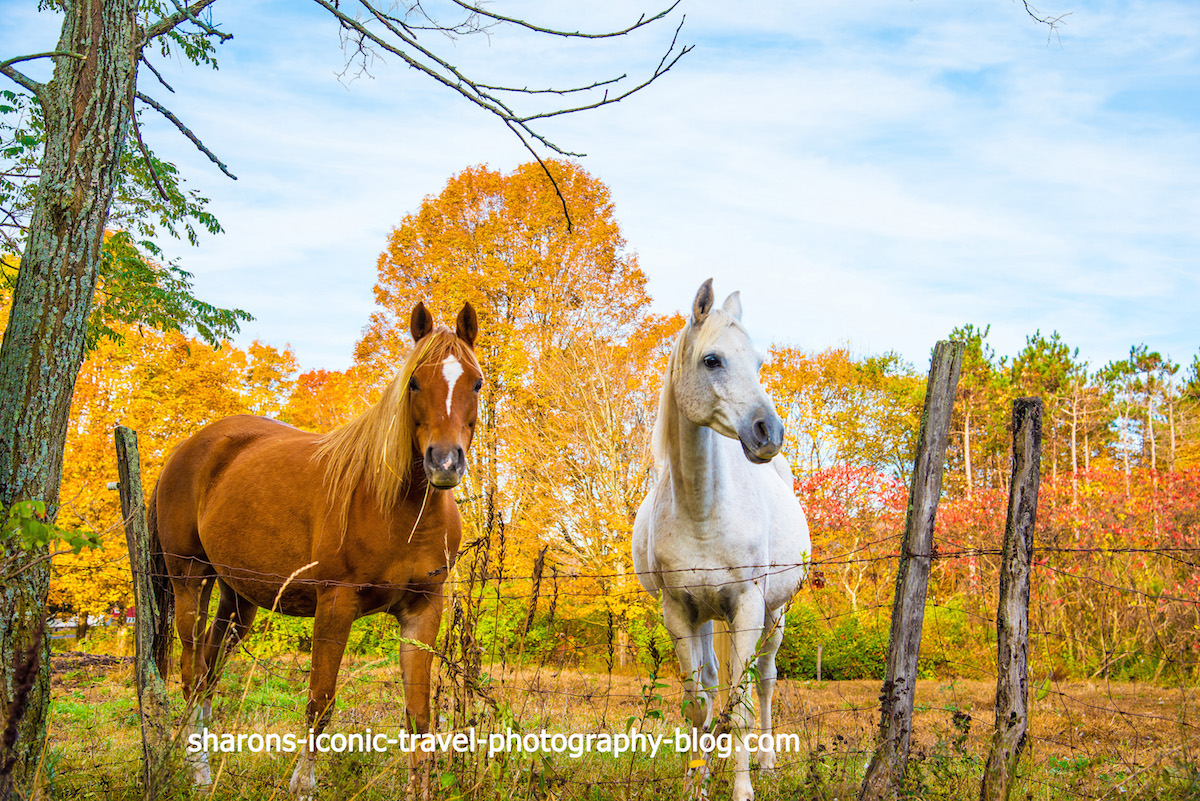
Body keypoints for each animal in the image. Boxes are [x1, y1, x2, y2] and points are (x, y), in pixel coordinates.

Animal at [149, 301, 482, 798]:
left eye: (476, 382)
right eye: (414, 382)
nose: (444, 463)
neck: (398, 508)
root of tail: (190, 447)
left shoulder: (424, 610)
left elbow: (419, 717)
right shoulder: (335, 604)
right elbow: (320, 702)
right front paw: (302, 784)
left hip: (237, 599)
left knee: (208, 671)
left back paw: (204, 765)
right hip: (190, 580)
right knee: (191, 674)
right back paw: (196, 770)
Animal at [632, 279, 810, 801]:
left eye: (759, 362)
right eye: (712, 360)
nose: (768, 432)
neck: (703, 510)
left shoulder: (747, 605)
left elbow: (742, 707)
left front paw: (743, 789)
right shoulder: (679, 610)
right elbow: (698, 704)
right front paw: (695, 783)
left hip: (774, 613)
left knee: (764, 681)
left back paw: (768, 763)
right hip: (708, 617)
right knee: (714, 683)